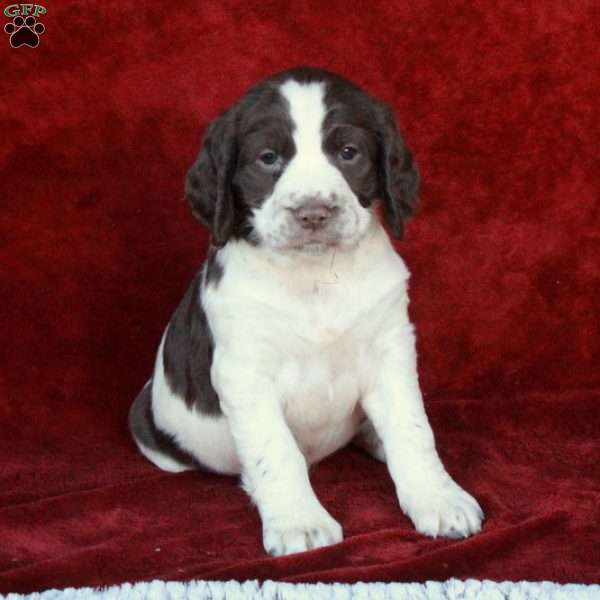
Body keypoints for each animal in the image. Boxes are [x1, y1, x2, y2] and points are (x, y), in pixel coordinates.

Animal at [129, 67, 486, 556]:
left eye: (349, 153)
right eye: (267, 158)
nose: (314, 213)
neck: (314, 278)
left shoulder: (390, 350)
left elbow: (414, 431)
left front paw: (439, 498)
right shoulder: (245, 372)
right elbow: (276, 449)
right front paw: (300, 521)